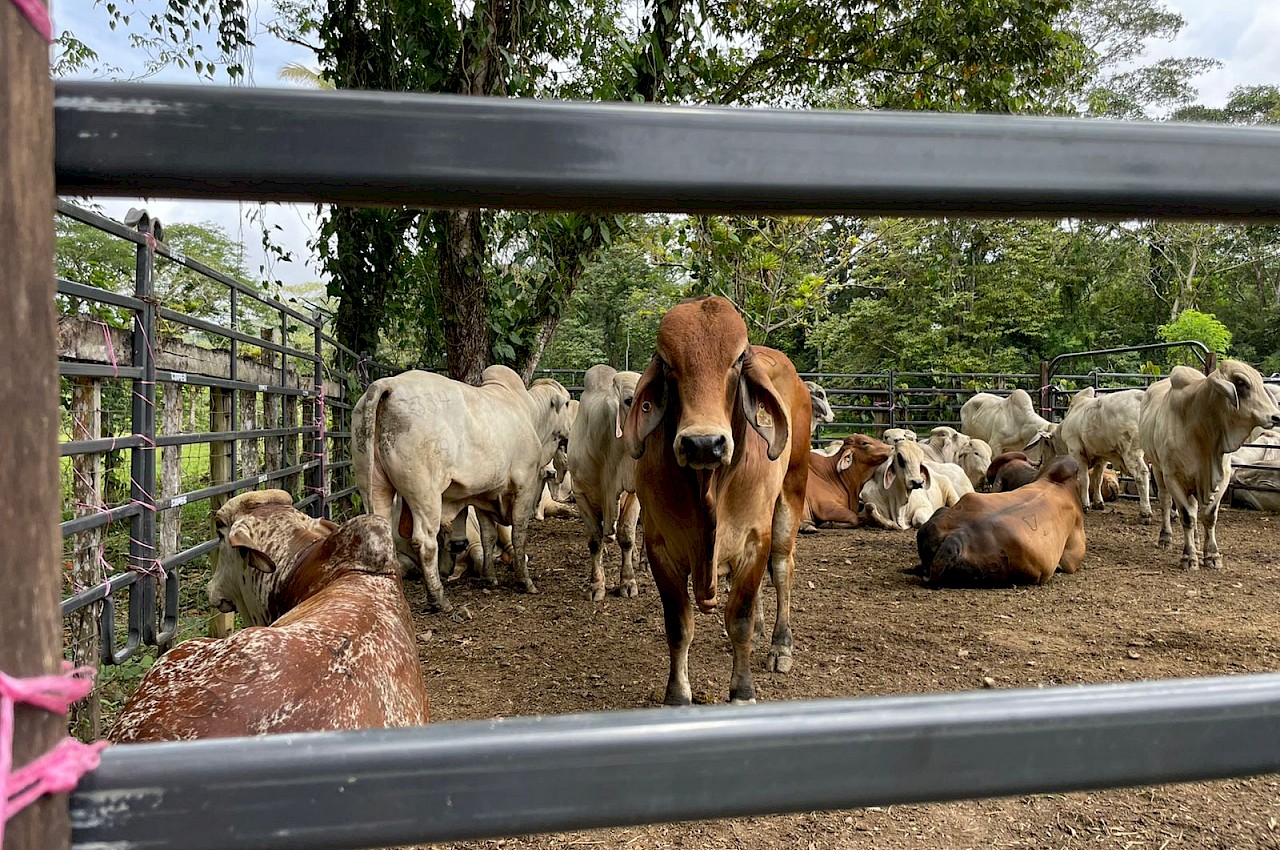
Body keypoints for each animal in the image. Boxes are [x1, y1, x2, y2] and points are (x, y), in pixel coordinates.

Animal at [622, 295, 808, 706]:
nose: (704, 444)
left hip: (792, 491)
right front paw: (677, 695)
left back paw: (780, 645)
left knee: (782, 570)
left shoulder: (755, 540)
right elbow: (679, 626)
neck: (708, 486)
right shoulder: (659, 545)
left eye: (737, 359)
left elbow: (739, 619)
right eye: (667, 362)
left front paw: (742, 690)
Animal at [1141, 360, 1280, 568]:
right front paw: (1189, 557)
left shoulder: (1221, 478)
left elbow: (1209, 515)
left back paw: (1197, 539)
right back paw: (1165, 538)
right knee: (1166, 501)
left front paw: (1212, 555)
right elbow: (1186, 516)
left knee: (1193, 506)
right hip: (1158, 469)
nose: (1276, 417)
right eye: (1241, 383)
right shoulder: (1172, 477)